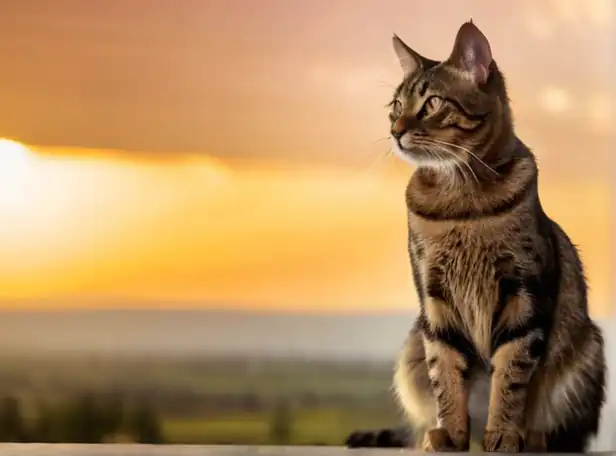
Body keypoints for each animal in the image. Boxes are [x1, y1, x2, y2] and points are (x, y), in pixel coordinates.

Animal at [346, 20, 608, 452]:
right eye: (395, 106)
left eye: (432, 103)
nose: (395, 131)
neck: (460, 202)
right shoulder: (434, 297)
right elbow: (446, 372)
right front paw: (452, 434)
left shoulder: (522, 292)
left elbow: (511, 373)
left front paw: (503, 432)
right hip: (411, 348)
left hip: (586, 350)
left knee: (565, 432)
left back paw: (533, 437)